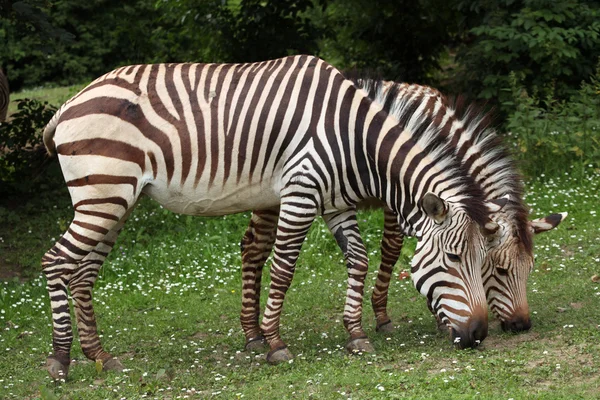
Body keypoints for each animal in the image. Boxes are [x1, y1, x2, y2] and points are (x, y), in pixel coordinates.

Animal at [39, 54, 504, 380]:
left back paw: (100, 356)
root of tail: (69, 103)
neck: (354, 140)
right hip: (104, 193)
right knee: (56, 261)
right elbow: (283, 269)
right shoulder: (300, 192)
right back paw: (61, 360)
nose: (479, 334)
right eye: (454, 260)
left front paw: (355, 333)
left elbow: (358, 259)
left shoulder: (336, 202)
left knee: (83, 273)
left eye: (486, 263)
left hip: (116, 200)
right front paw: (275, 344)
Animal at [238, 79, 568, 346]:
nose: (521, 325)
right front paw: (386, 316)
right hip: (273, 196)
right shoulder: (397, 196)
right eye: (500, 269)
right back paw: (254, 334)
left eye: (530, 269)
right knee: (253, 248)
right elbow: (392, 248)